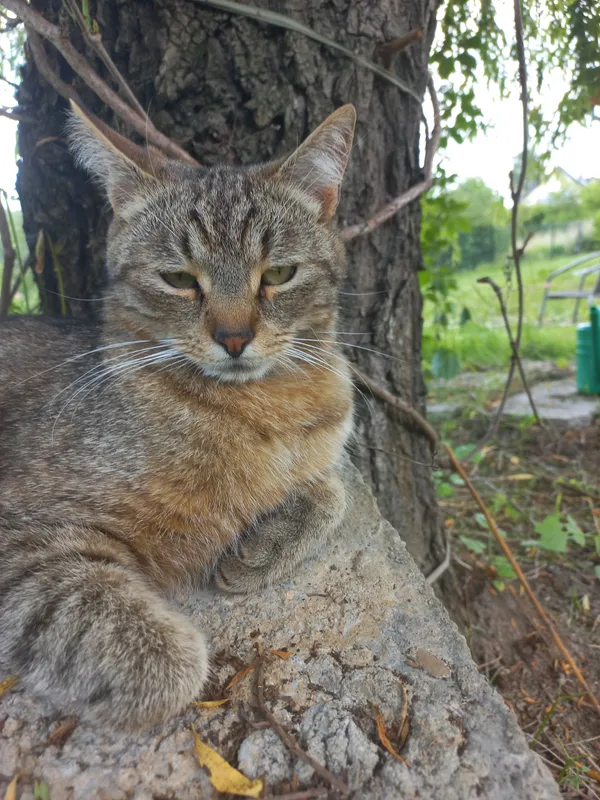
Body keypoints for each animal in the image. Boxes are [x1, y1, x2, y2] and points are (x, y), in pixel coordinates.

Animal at [0, 101, 356, 732]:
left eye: (278, 274)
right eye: (179, 279)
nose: (234, 337)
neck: (263, 410)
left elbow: (336, 492)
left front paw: (262, 544)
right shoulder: (22, 534)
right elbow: (160, 660)